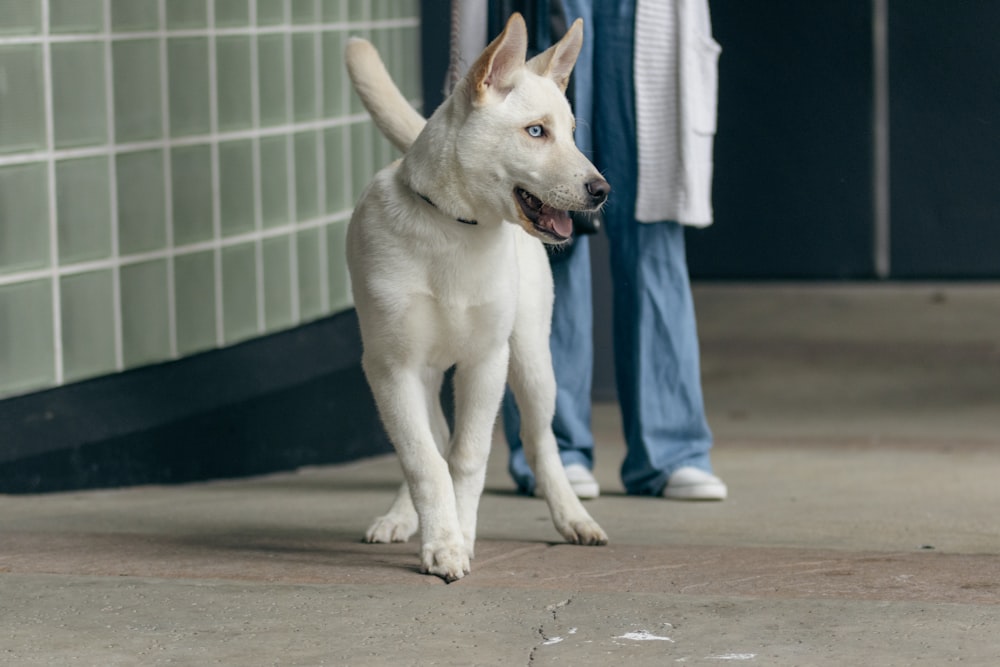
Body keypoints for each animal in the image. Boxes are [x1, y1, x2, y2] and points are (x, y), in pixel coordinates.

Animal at [344, 13, 608, 580]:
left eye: (573, 133)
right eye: (536, 131)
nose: (602, 191)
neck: (454, 226)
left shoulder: (487, 360)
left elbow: (467, 457)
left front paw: (459, 538)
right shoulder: (391, 367)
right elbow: (423, 459)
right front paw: (440, 540)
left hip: (532, 359)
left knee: (540, 442)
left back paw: (573, 517)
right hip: (420, 372)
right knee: (430, 438)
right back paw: (401, 517)